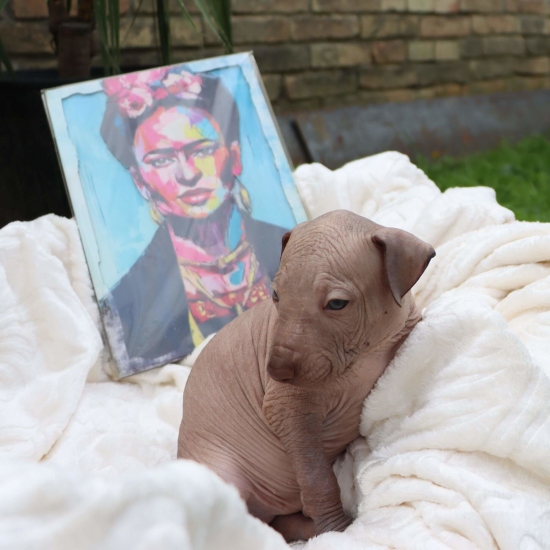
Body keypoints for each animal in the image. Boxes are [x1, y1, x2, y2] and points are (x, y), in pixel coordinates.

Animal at [179, 210, 438, 544]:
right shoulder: (286, 407)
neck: (362, 356)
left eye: (337, 304)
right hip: (221, 473)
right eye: (276, 295)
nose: (275, 370)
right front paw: (337, 530)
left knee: (276, 523)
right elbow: (317, 478)